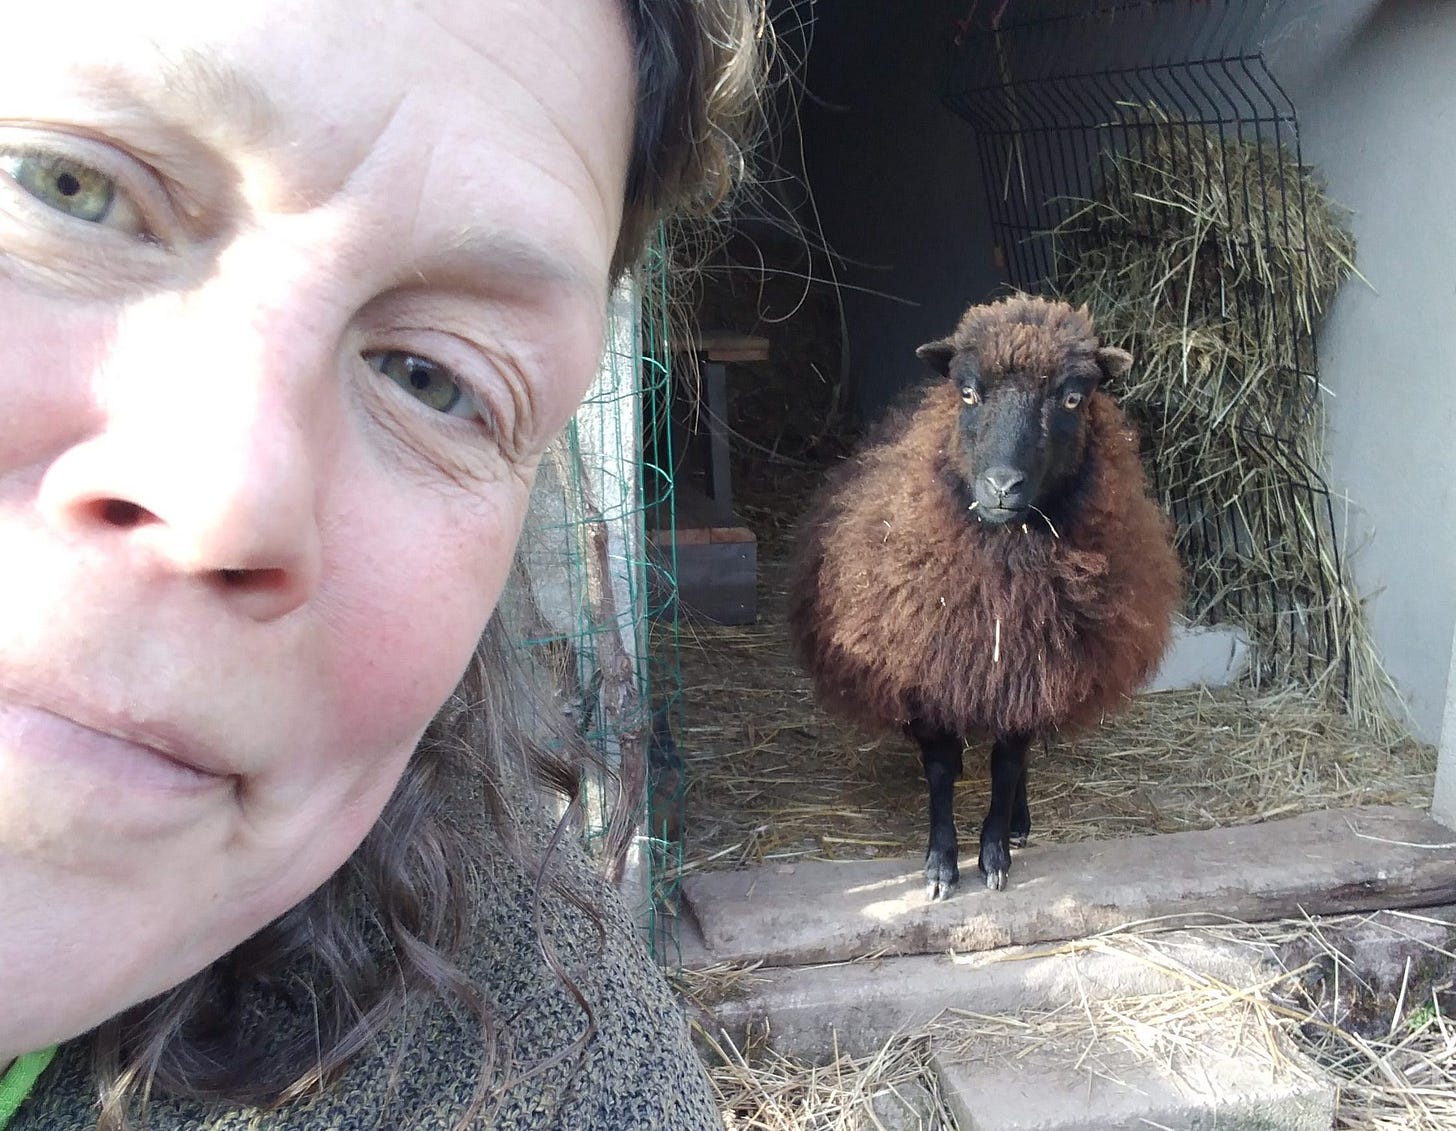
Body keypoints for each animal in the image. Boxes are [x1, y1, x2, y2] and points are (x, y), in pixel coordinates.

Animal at [788, 296, 1182, 899]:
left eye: (1072, 397)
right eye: (969, 391)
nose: (1002, 486)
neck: (1001, 568)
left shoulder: (1029, 669)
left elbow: (1007, 765)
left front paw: (995, 853)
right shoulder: (929, 675)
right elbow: (942, 771)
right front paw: (940, 864)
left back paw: (1018, 823)